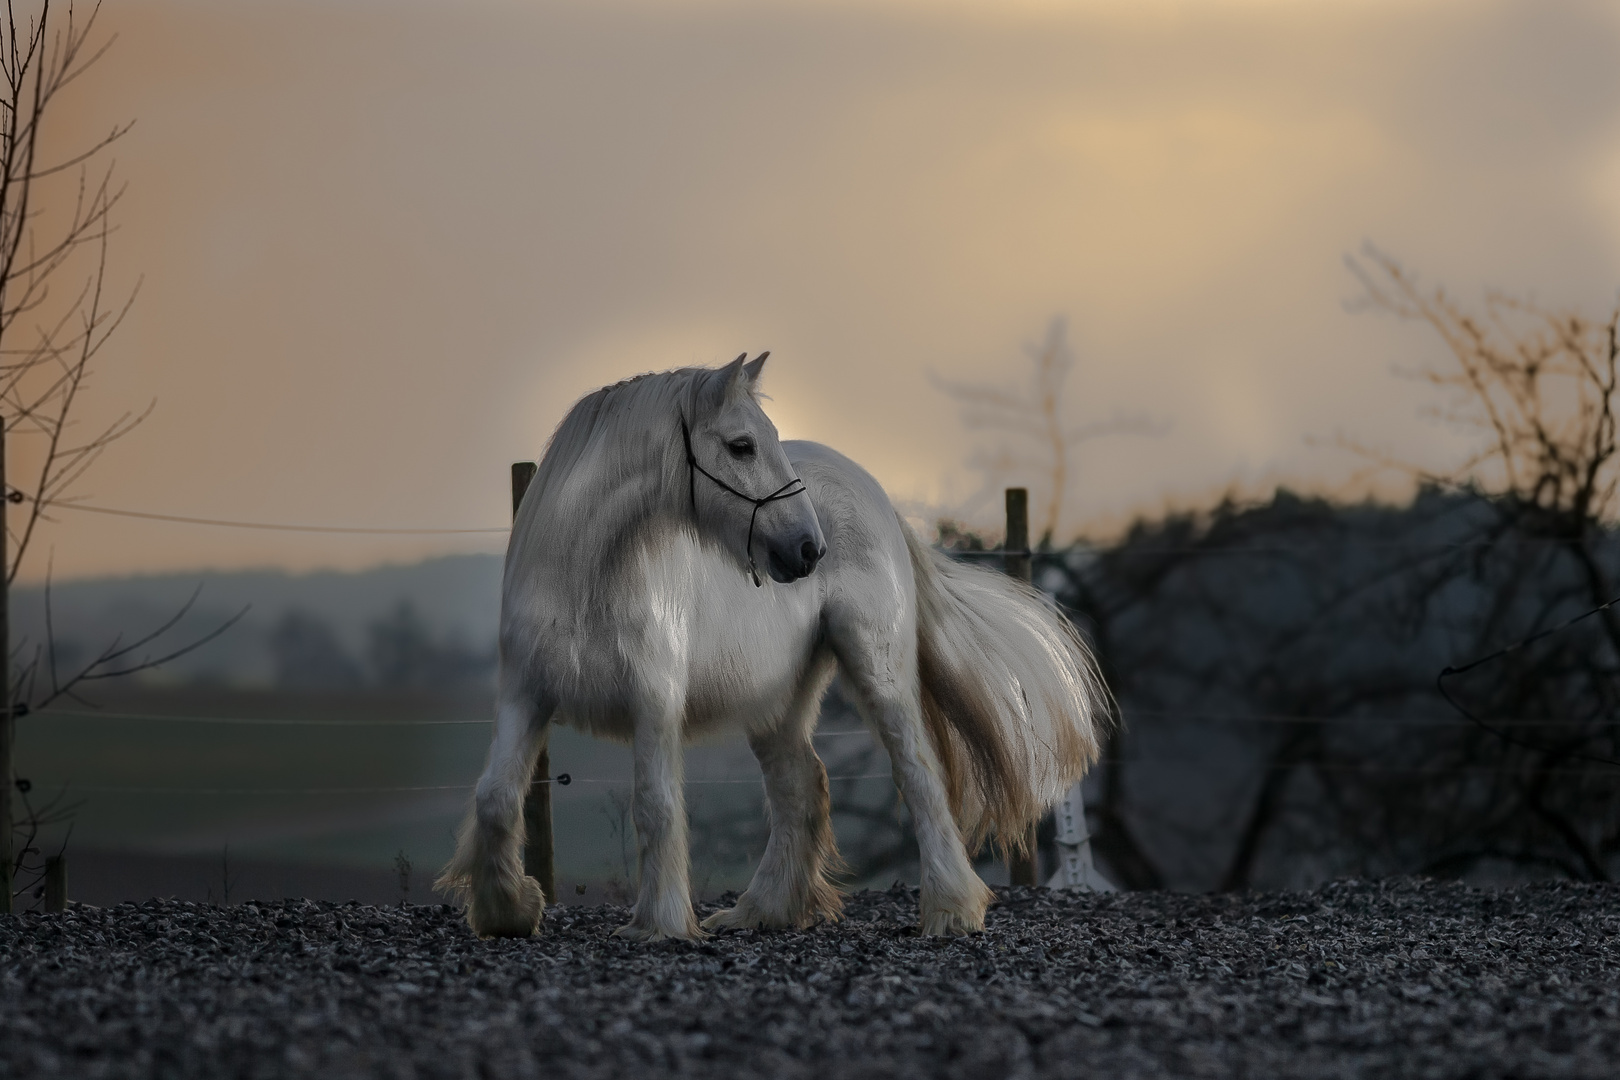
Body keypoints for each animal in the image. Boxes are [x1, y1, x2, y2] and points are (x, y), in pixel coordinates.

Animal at [437, 354, 1108, 939]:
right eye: (741, 445)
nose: (809, 548)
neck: (587, 576)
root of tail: (875, 491)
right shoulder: (525, 696)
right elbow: (495, 798)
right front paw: (509, 910)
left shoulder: (654, 700)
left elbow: (655, 805)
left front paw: (659, 925)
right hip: (775, 701)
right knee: (801, 785)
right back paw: (764, 911)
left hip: (877, 668)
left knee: (916, 774)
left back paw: (950, 910)